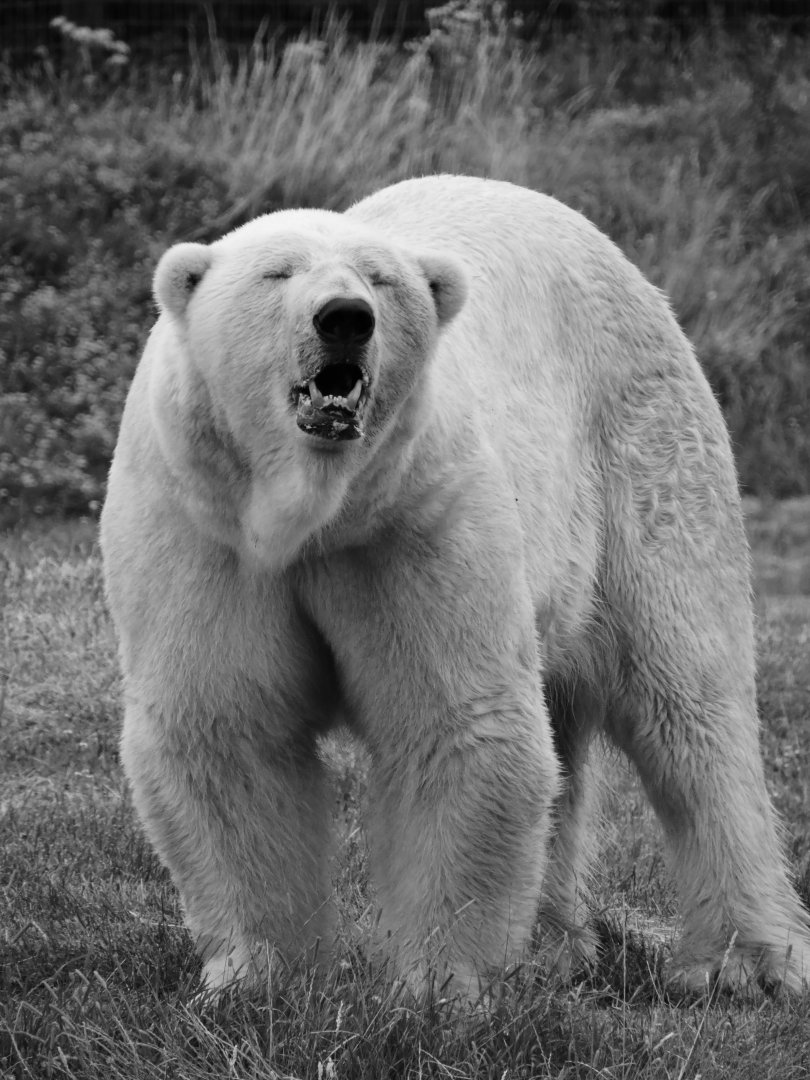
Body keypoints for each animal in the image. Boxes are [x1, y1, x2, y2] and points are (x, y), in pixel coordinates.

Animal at [100, 174, 810, 999]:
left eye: (379, 278)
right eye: (276, 272)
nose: (345, 318)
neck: (315, 514)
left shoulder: (419, 516)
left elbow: (453, 720)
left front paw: (440, 982)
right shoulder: (205, 525)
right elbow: (227, 724)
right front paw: (257, 974)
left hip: (641, 451)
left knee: (688, 700)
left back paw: (744, 963)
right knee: (571, 724)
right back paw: (553, 944)